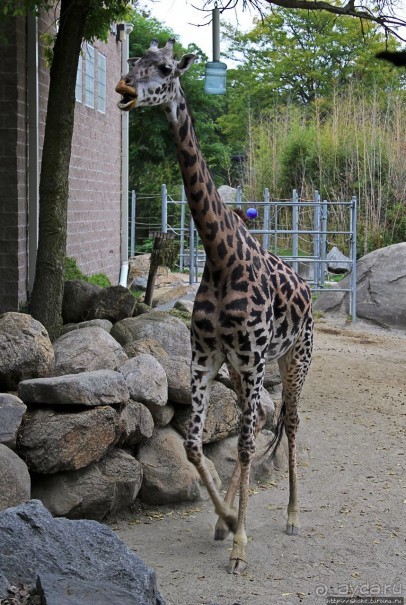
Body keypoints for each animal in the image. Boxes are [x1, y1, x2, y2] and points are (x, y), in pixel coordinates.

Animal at [116, 39, 312, 572]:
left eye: (165, 69)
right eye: (133, 62)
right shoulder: (207, 356)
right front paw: (225, 520)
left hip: (293, 358)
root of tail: (308, 289)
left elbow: (242, 446)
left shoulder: (251, 356)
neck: (221, 257)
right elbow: (193, 443)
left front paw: (241, 541)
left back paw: (292, 516)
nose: (124, 88)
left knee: (288, 423)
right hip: (248, 368)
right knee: (259, 420)